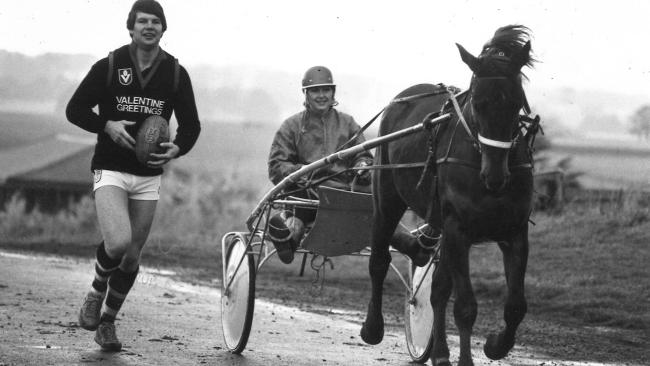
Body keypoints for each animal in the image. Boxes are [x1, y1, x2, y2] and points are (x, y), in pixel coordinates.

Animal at [360, 25, 536, 366]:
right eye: (478, 102)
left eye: (516, 102)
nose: (495, 176)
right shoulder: (459, 230)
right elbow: (465, 306)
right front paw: (467, 357)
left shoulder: (514, 232)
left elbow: (516, 306)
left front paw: (496, 345)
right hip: (386, 197)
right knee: (379, 260)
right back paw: (373, 328)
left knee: (438, 289)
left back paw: (439, 352)